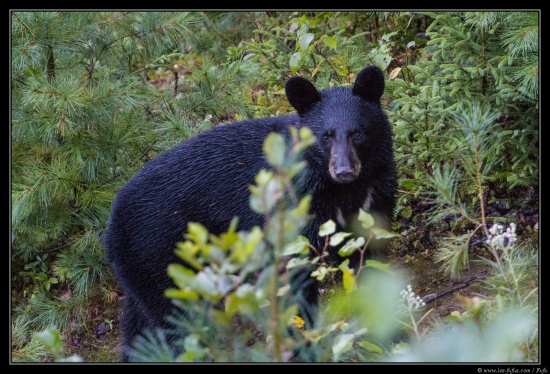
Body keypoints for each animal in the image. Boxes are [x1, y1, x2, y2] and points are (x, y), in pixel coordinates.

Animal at [103, 65, 396, 362]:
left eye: (357, 133)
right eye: (326, 135)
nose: (345, 170)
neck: (342, 190)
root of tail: (112, 224)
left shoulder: (375, 197)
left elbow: (372, 260)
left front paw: (386, 337)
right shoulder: (295, 209)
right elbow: (293, 279)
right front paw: (306, 347)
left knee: (140, 330)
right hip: (161, 257)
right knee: (177, 321)